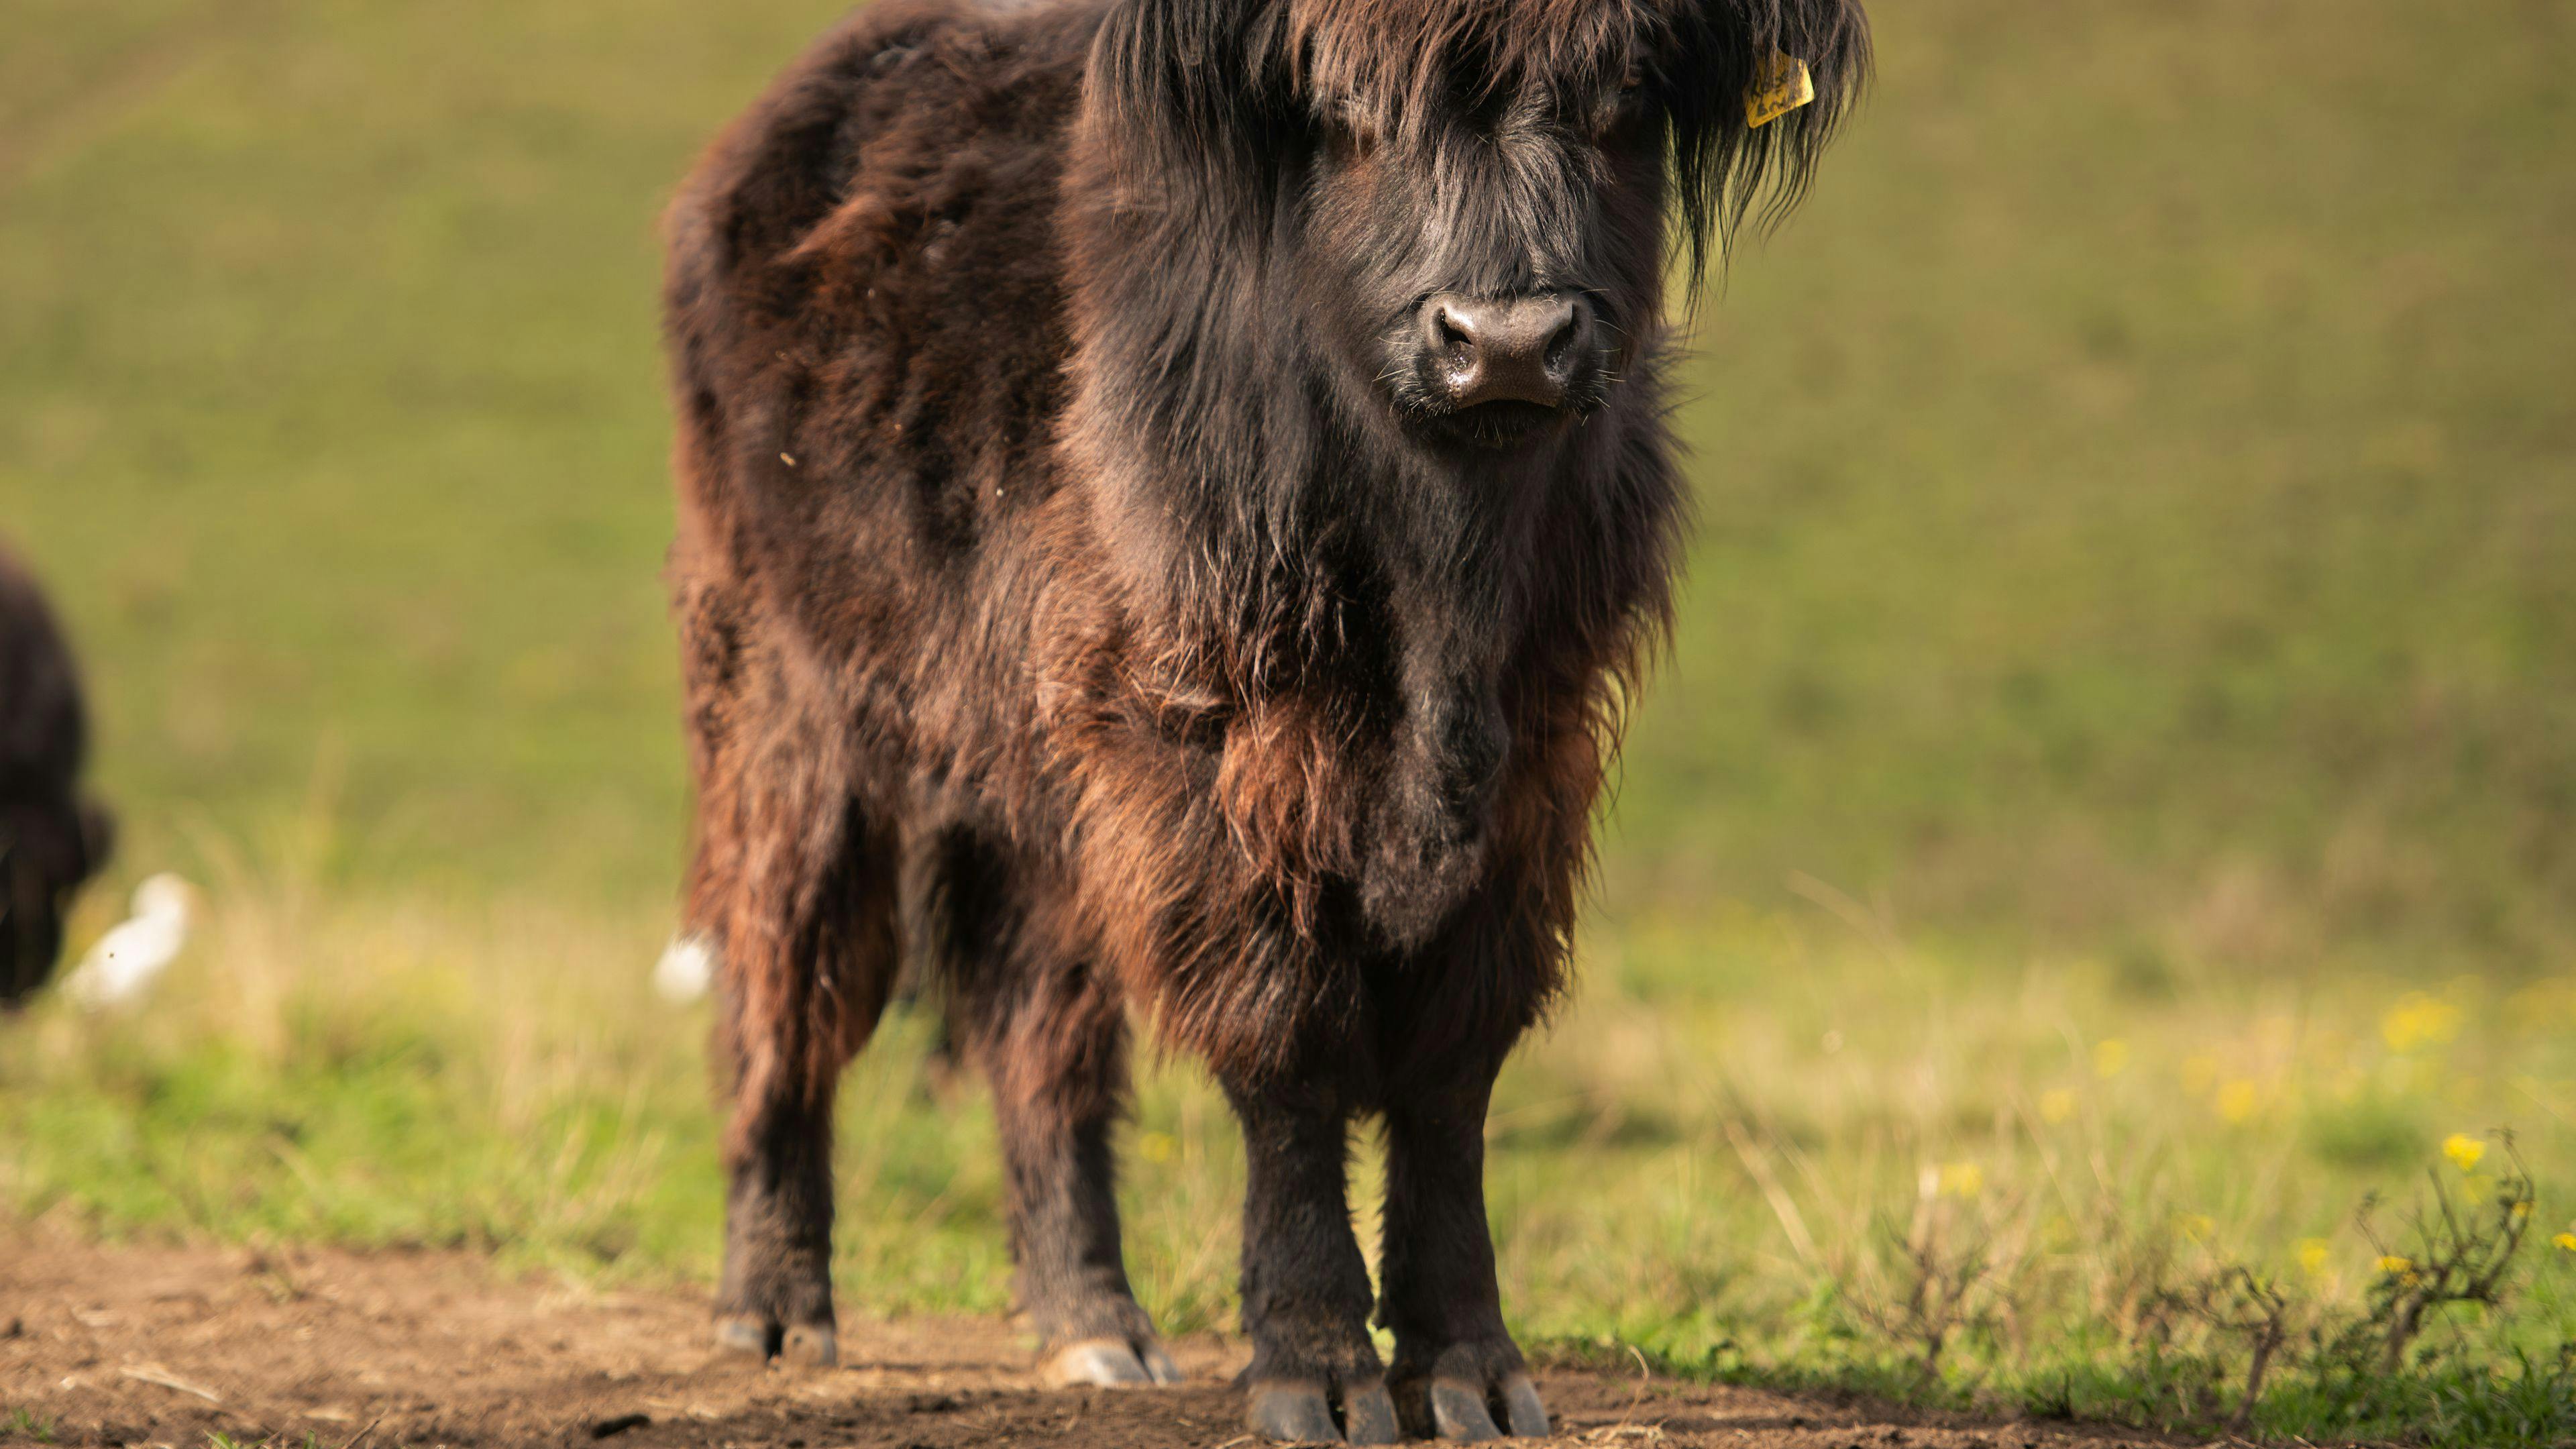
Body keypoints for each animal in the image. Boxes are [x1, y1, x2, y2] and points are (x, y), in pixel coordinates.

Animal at [660, 0, 1867, 1439]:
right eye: (1348, 110)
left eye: (1624, 99)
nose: (1507, 341)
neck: (1440, 589)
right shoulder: (1206, 751)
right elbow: (1284, 1036)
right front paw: (1318, 1366)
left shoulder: (1534, 766)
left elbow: (1453, 1063)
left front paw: (1470, 1368)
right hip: (790, 703)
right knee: (789, 971)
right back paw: (774, 1309)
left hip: (1037, 779)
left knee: (1038, 1028)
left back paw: (1095, 1328)